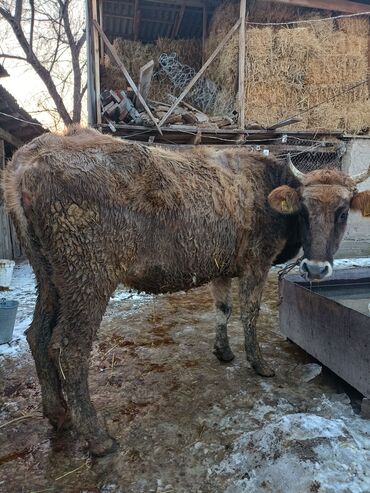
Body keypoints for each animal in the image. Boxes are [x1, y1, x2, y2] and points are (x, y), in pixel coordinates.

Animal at [2, 126, 370, 454]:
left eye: (342, 212)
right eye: (305, 210)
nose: (316, 269)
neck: (266, 186)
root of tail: (32, 155)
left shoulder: (224, 267)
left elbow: (223, 309)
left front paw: (224, 351)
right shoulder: (257, 262)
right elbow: (250, 312)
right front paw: (259, 363)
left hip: (49, 276)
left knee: (37, 335)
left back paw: (58, 413)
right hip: (88, 277)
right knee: (69, 350)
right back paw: (97, 437)